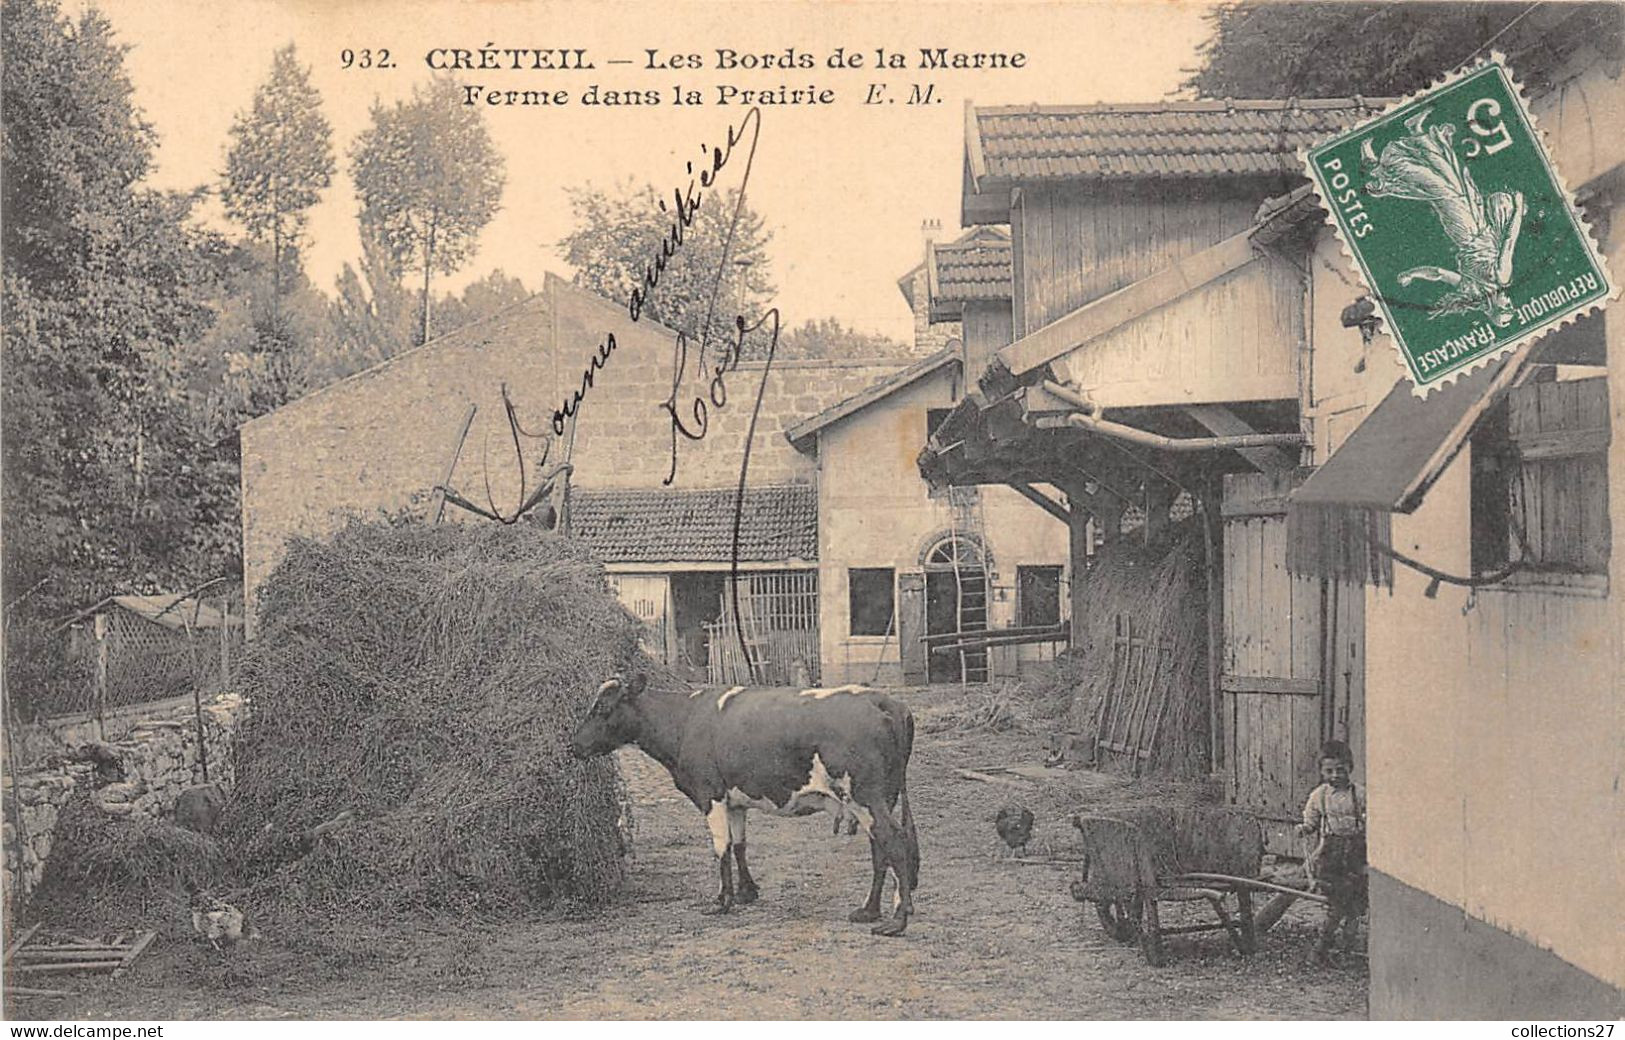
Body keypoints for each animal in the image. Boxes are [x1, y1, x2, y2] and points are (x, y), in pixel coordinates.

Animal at [568, 669, 923, 936]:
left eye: (602, 709)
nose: (574, 746)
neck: (684, 720)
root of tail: (885, 700)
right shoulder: (734, 800)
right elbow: (739, 845)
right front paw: (746, 893)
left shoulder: (710, 794)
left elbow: (721, 847)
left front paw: (721, 901)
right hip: (879, 799)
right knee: (881, 849)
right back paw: (869, 910)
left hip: (867, 797)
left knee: (894, 842)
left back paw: (896, 921)